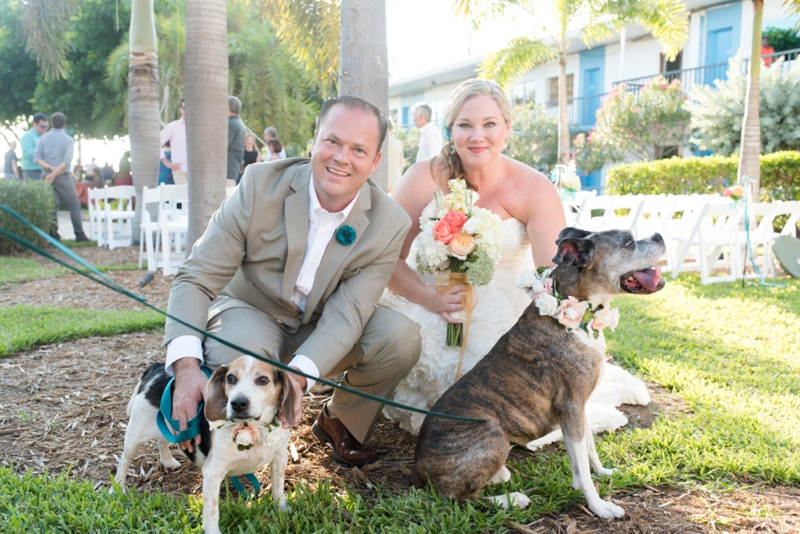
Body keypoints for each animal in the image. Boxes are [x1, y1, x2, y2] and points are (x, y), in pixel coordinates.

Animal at [114, 356, 298, 534]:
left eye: (263, 379)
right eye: (231, 378)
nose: (238, 403)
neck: (253, 429)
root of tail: (157, 368)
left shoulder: (280, 457)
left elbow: (278, 487)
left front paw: (282, 509)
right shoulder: (212, 473)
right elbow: (212, 510)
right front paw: (212, 531)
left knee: (162, 440)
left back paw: (167, 461)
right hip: (135, 435)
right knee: (124, 461)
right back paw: (117, 489)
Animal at [410, 228, 664, 520]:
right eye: (628, 242)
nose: (659, 235)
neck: (575, 310)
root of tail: (419, 465)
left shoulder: (579, 408)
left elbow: (588, 448)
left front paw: (603, 472)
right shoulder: (571, 406)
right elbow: (581, 467)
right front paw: (598, 505)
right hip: (492, 433)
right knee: (460, 498)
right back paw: (511, 500)